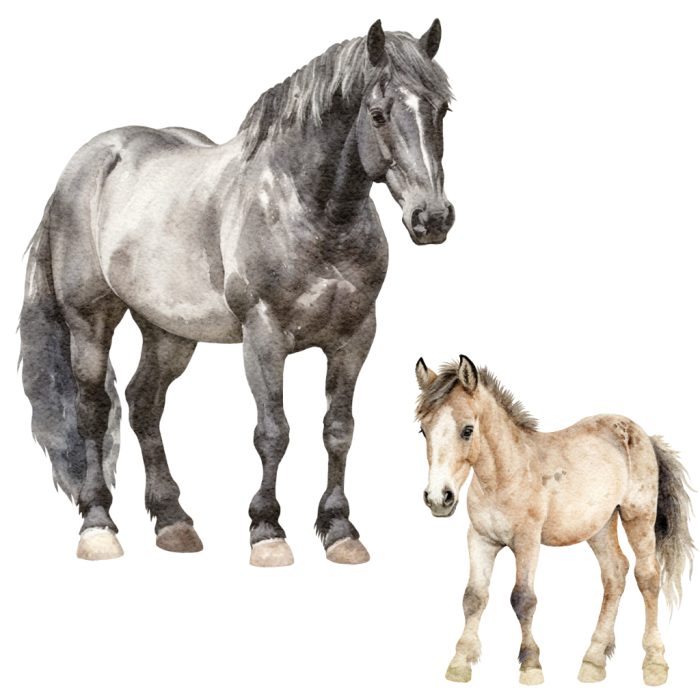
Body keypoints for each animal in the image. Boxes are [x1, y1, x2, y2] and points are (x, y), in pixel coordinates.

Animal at [19, 19, 455, 565]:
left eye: (441, 109)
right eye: (377, 114)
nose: (432, 218)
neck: (308, 208)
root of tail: (83, 167)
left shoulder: (354, 337)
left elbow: (339, 430)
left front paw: (339, 529)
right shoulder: (264, 336)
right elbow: (273, 433)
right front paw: (267, 530)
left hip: (169, 332)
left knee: (144, 403)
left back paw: (173, 521)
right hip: (90, 320)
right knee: (94, 409)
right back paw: (98, 524)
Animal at [414, 355, 693, 686]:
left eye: (468, 429)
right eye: (423, 430)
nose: (438, 498)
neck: (504, 476)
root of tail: (643, 435)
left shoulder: (527, 542)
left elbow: (523, 599)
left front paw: (531, 664)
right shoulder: (481, 539)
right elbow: (473, 597)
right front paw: (459, 663)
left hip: (638, 516)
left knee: (648, 576)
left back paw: (654, 662)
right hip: (599, 526)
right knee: (615, 573)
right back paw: (594, 660)